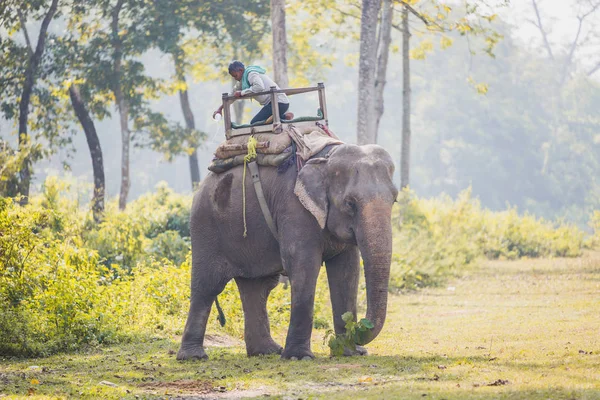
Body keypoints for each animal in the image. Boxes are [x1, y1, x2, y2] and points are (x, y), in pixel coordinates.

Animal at [177, 143, 398, 360]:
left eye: (394, 200)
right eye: (350, 203)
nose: (359, 327)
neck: (326, 158)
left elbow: (347, 271)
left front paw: (351, 352)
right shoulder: (294, 208)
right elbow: (304, 266)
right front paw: (299, 357)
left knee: (257, 286)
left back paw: (266, 351)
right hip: (206, 226)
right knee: (207, 285)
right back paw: (194, 356)